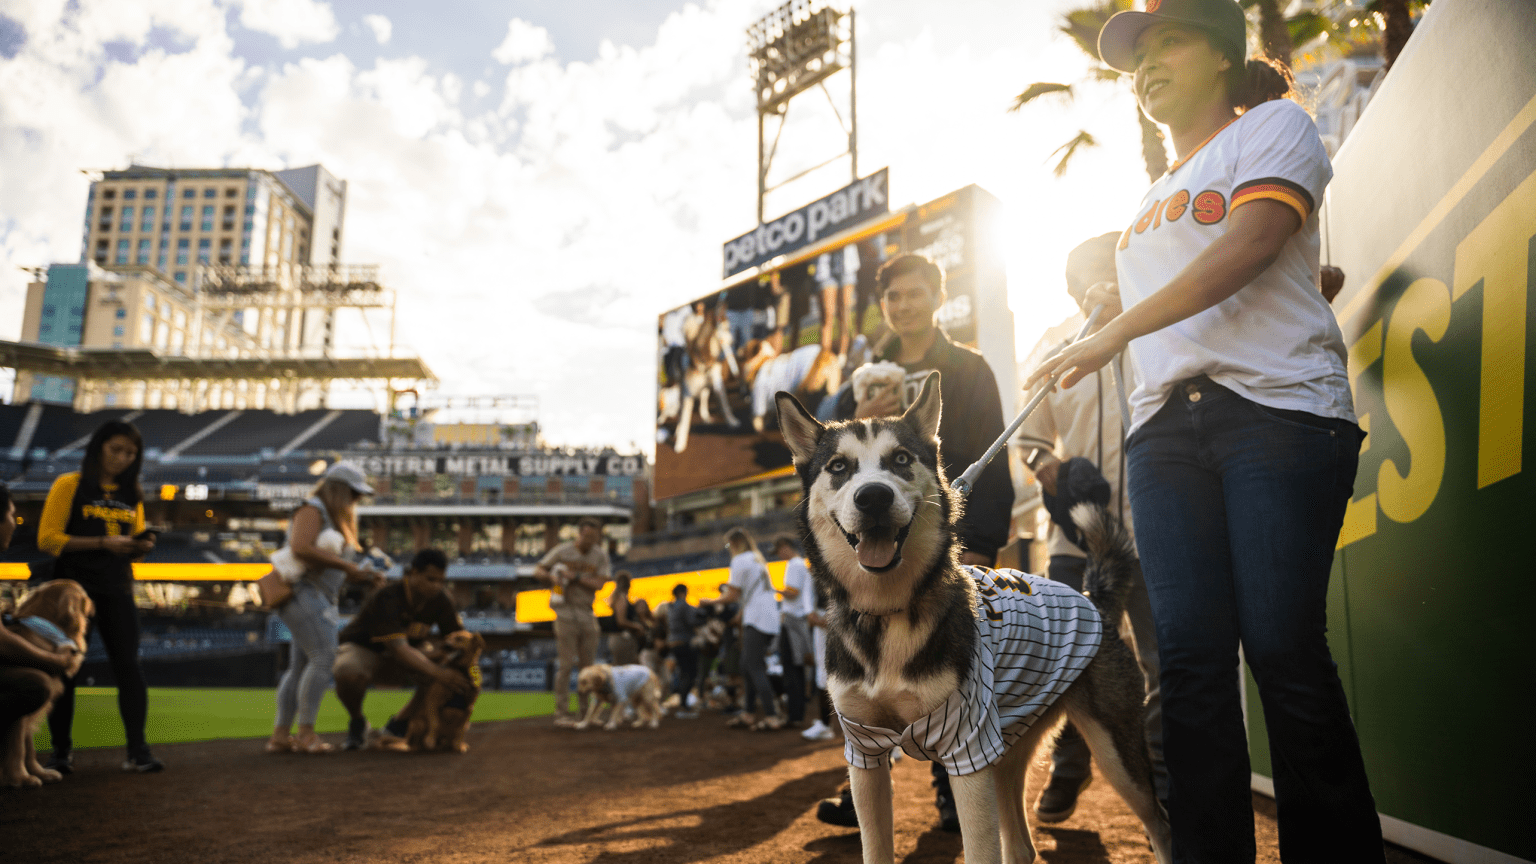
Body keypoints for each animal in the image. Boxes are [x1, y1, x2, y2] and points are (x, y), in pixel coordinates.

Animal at [774, 375, 1167, 860]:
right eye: (838, 467)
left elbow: (980, 848)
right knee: (1021, 848)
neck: (889, 614)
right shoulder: (865, 752)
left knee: (1160, 821)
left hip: (1114, 751)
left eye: (900, 459)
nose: (873, 496)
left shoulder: (966, 750)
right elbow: (875, 846)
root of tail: (1093, 599)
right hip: (1006, 749)